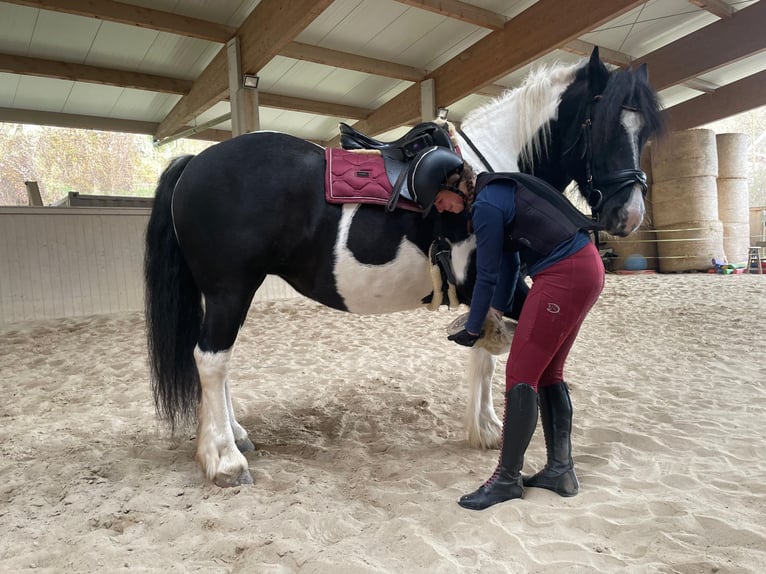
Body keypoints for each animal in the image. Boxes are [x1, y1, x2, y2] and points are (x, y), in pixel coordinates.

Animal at [146, 49, 664, 488]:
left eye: (645, 132)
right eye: (604, 125)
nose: (629, 215)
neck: (493, 174)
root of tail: (195, 161)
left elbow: (484, 355)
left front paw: (485, 427)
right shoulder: (498, 282)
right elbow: (491, 352)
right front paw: (486, 428)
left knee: (219, 363)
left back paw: (234, 435)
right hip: (230, 289)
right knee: (211, 360)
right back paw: (224, 458)